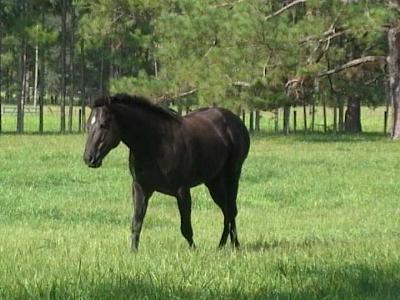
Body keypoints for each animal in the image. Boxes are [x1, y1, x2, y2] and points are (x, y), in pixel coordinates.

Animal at [83, 94, 248, 251]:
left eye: (104, 125)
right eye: (88, 125)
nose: (89, 158)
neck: (155, 143)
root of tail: (236, 122)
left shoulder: (182, 190)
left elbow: (186, 227)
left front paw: (194, 249)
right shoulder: (140, 188)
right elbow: (136, 222)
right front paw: (133, 251)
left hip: (232, 176)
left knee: (231, 210)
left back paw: (235, 245)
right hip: (214, 182)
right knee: (226, 211)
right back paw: (221, 245)